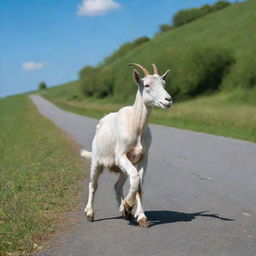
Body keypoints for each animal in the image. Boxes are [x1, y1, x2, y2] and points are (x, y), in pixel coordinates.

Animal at [80, 63, 172, 228]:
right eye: (147, 85)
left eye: (164, 83)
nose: (168, 100)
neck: (136, 125)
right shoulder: (121, 155)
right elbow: (135, 178)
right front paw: (129, 204)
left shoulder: (143, 158)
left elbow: (140, 185)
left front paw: (140, 216)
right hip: (97, 160)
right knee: (93, 185)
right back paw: (90, 213)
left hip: (122, 168)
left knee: (117, 185)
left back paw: (124, 211)